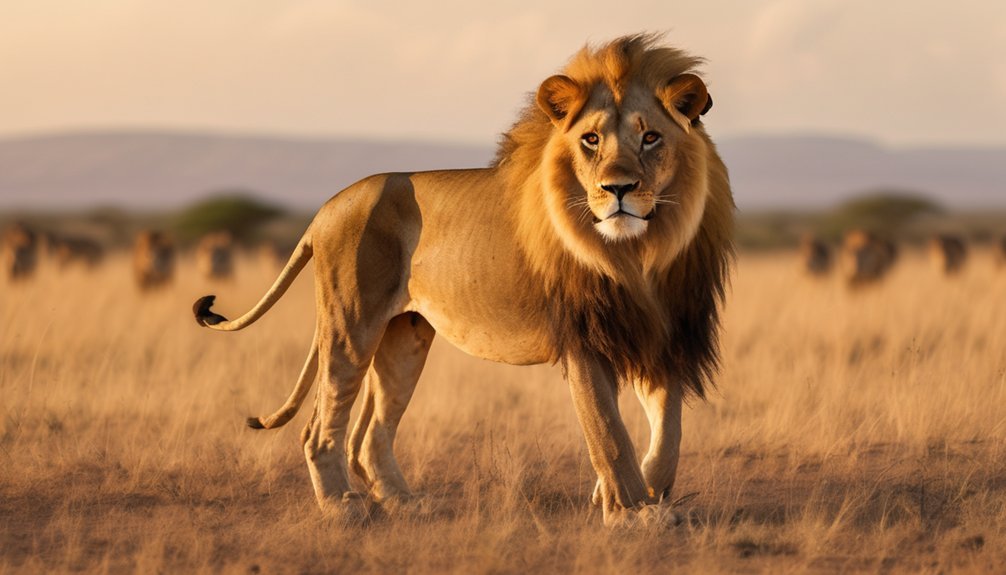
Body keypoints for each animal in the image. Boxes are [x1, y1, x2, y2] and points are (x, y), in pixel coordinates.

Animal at [193, 34, 734, 528]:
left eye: (651, 138)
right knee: (321, 427)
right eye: (591, 140)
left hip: (403, 338)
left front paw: (639, 497)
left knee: (370, 434)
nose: (617, 189)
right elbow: (608, 431)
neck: (638, 254)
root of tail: (327, 206)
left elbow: (668, 434)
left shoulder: (665, 335)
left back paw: (403, 502)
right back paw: (341, 506)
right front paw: (630, 513)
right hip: (350, 326)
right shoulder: (583, 339)